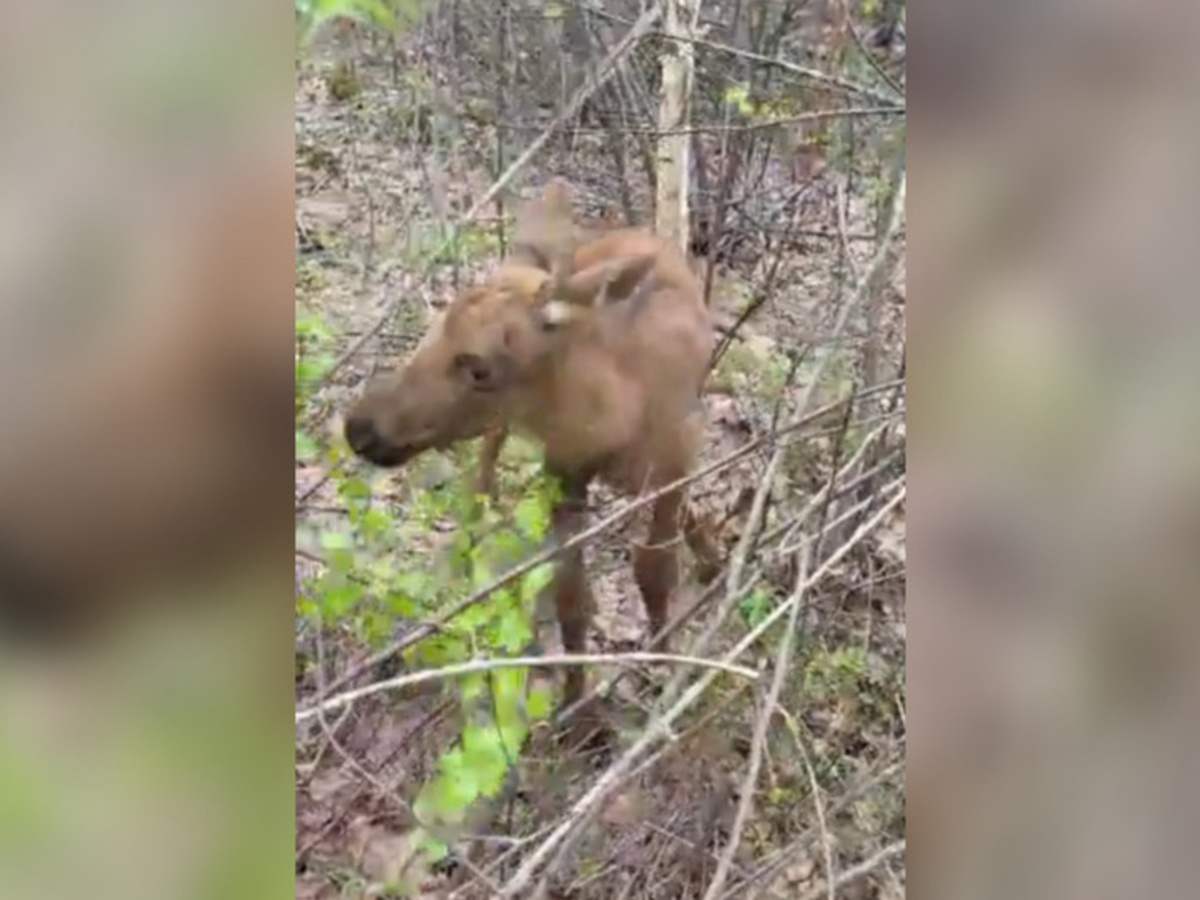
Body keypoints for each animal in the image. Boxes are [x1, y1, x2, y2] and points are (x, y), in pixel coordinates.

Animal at [343, 177, 715, 710]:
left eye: (479, 367)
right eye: (431, 333)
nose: (360, 428)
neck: (618, 415)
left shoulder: (677, 455)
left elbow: (654, 568)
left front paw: (665, 666)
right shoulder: (563, 467)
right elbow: (570, 594)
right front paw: (576, 705)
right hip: (504, 434)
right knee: (483, 472)